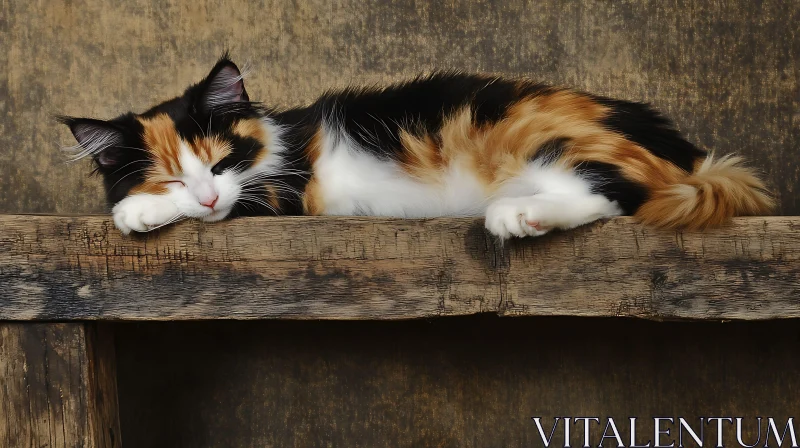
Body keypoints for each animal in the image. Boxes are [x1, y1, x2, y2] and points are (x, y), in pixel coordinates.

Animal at [59, 56, 772, 238]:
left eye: (219, 161)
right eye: (171, 175)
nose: (204, 195)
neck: (275, 140)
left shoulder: (286, 189)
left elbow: (242, 203)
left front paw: (134, 212)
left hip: (542, 135)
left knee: (616, 192)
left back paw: (514, 216)